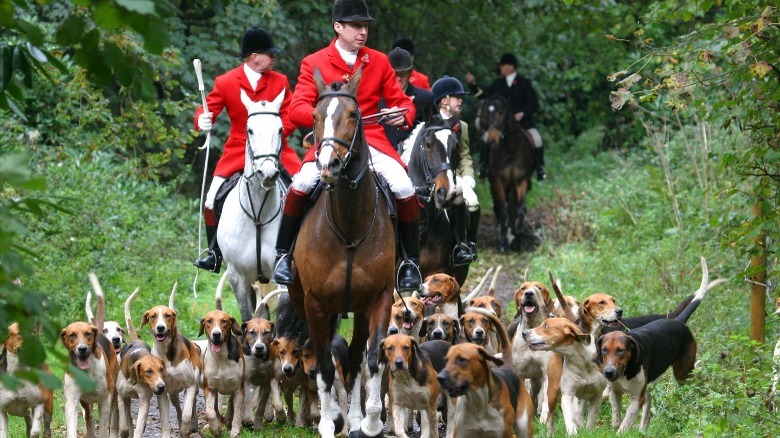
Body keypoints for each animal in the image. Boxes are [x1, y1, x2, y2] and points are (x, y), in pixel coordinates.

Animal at [216, 89, 286, 322]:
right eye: (250, 130)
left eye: (280, 129)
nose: (268, 174)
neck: (258, 216)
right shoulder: (237, 277)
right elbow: (248, 318)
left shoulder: (280, 274)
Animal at [284, 66, 396, 438]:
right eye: (315, 116)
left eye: (353, 114)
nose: (328, 165)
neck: (348, 225)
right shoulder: (315, 304)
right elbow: (323, 364)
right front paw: (328, 421)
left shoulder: (379, 298)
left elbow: (372, 359)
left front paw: (371, 421)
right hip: (309, 305)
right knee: (325, 355)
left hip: (357, 309)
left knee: (356, 357)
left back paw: (356, 418)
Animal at [478, 95, 532, 253]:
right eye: (487, 111)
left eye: (501, 112)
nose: (491, 138)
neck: (511, 150)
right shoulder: (498, 182)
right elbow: (502, 211)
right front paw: (502, 243)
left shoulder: (521, 181)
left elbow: (520, 209)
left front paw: (516, 236)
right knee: (499, 209)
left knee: (512, 209)